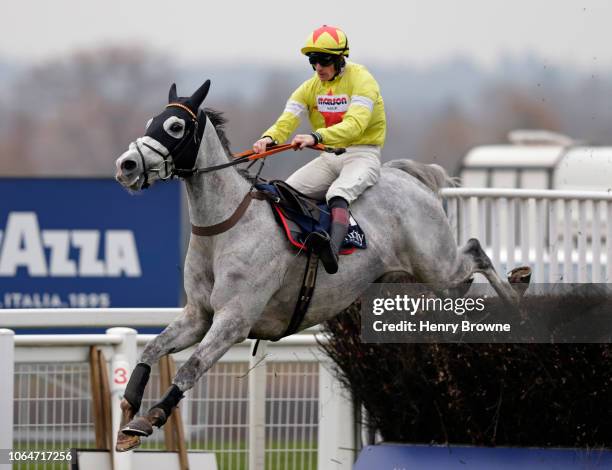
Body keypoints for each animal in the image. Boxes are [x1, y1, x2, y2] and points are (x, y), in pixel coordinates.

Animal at [113, 81, 524, 452]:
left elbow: (190, 368)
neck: (225, 227)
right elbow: (150, 352)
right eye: (151, 120)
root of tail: (408, 175)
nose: (126, 165)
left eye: (175, 127)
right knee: (462, 282)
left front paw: (150, 418)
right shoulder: (198, 316)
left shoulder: (234, 320)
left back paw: (518, 295)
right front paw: (129, 410)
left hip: (437, 264)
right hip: (416, 276)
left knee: (475, 253)